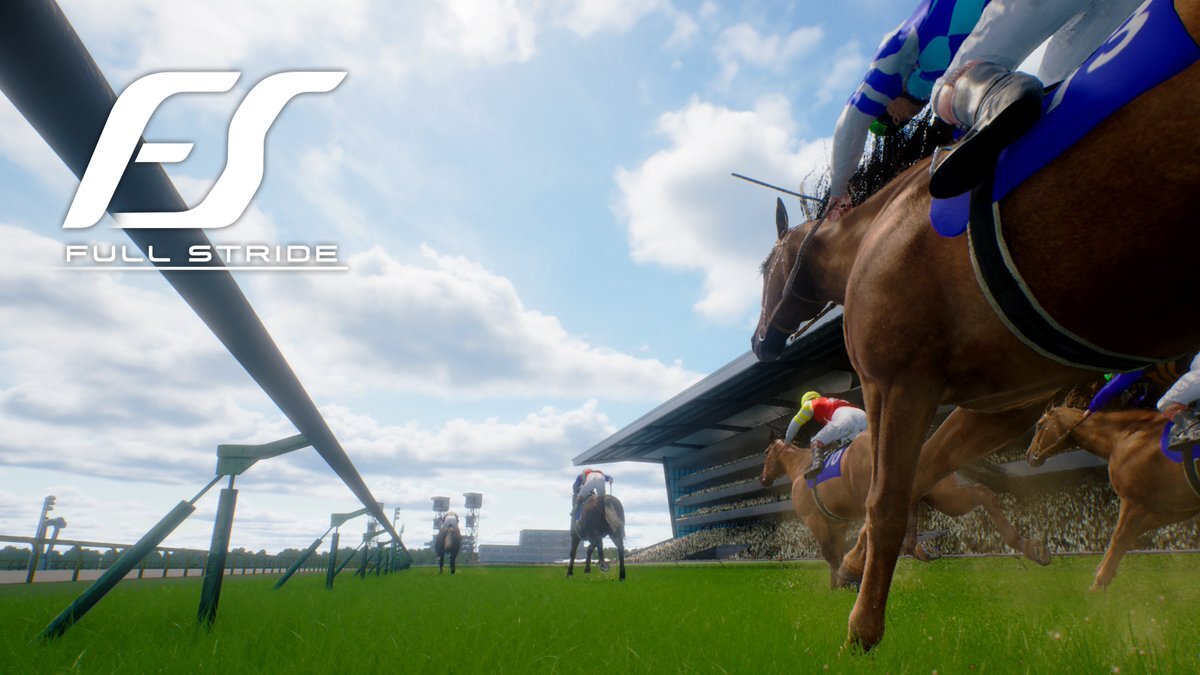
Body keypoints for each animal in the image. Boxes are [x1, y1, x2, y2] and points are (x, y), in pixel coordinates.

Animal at [761, 437, 1049, 587]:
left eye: (766, 454)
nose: (763, 479)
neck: (802, 468)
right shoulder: (837, 526)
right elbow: (837, 554)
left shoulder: (816, 522)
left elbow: (831, 555)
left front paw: (843, 583)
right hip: (943, 495)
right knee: (981, 492)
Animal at [1026, 406, 1200, 590]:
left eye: (1039, 425)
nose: (1028, 455)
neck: (1123, 438)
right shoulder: (1177, 507)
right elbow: (1128, 535)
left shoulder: (1134, 502)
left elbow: (1119, 538)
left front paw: (1099, 581)